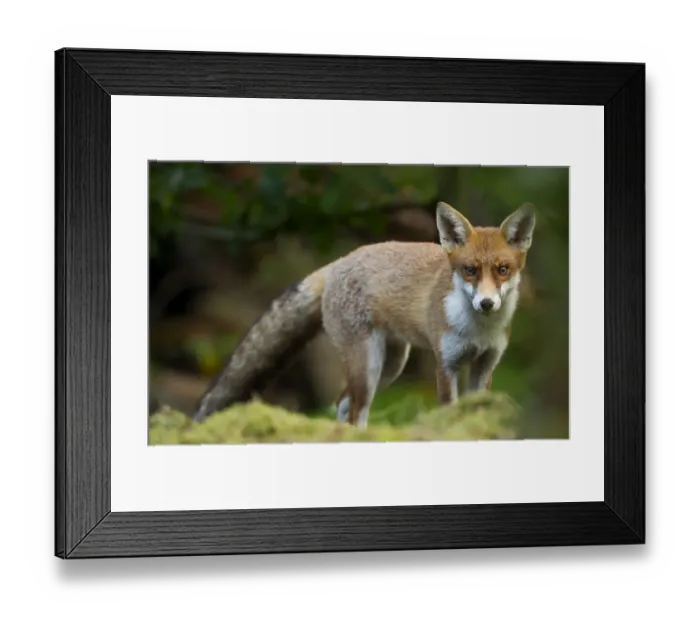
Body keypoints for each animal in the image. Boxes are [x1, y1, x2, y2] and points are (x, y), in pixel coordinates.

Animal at [193, 201, 536, 427]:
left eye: (503, 270)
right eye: (470, 270)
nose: (487, 304)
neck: (478, 330)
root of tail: (337, 263)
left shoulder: (484, 365)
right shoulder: (446, 365)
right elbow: (448, 410)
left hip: (390, 366)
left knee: (343, 404)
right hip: (367, 364)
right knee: (354, 409)